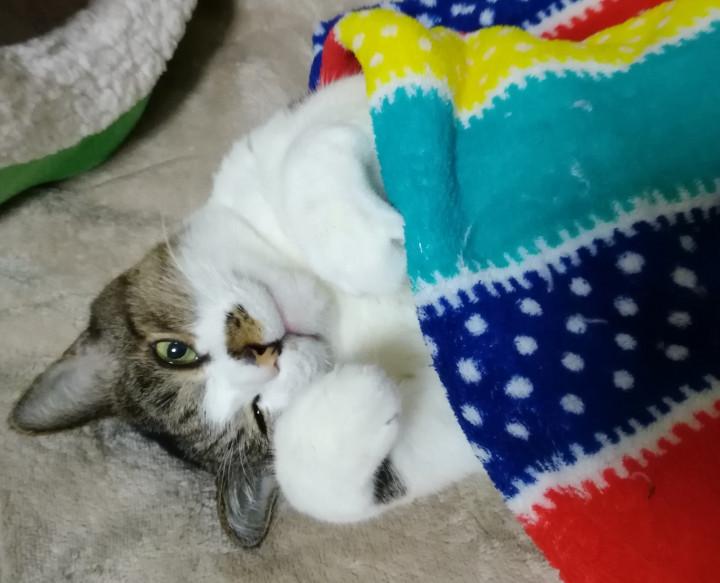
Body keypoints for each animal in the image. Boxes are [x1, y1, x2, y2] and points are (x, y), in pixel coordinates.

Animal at [9, 75, 481, 546]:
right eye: (258, 415)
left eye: (173, 352)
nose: (262, 349)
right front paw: (354, 396)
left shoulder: (272, 143)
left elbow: (305, 150)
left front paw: (367, 250)